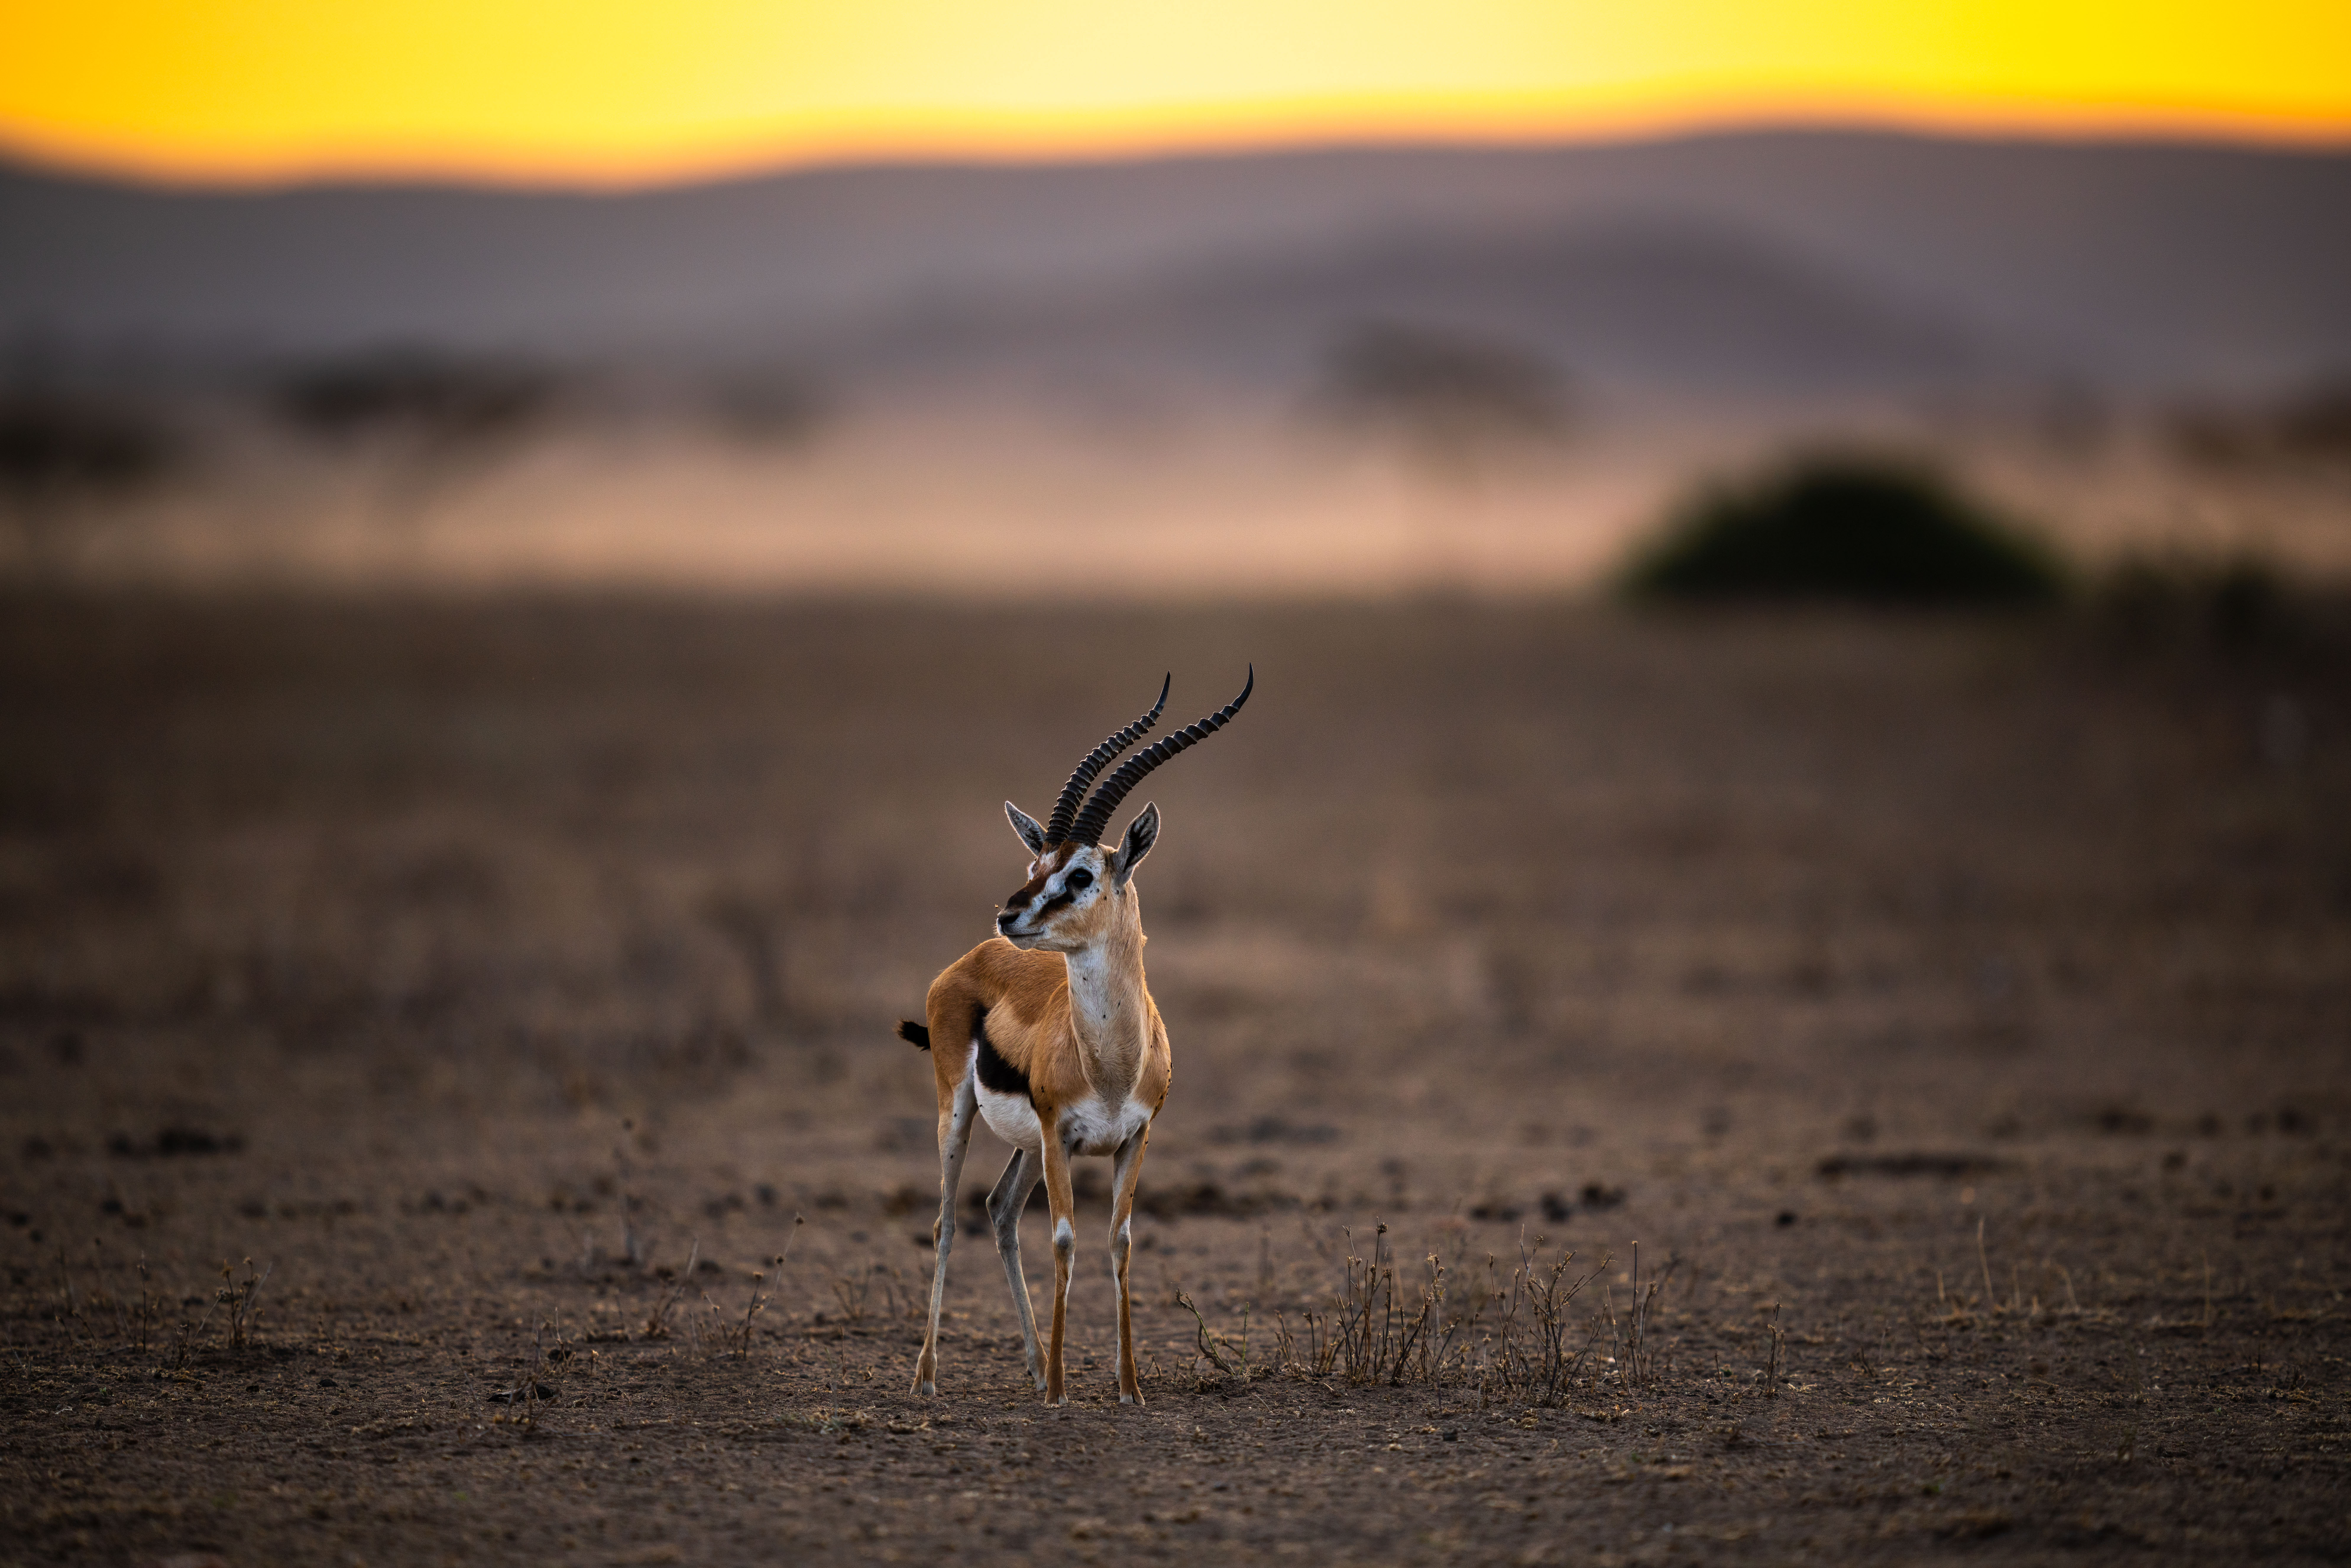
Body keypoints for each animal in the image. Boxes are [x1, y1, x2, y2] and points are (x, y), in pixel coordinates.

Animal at [896, 671, 1252, 1405]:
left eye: (1081, 875)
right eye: (1035, 863)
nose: (1009, 914)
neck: (1112, 1065)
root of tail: (968, 961)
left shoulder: (1134, 1139)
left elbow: (1120, 1243)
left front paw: (1129, 1389)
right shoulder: (1061, 1135)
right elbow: (1063, 1239)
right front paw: (1062, 1392)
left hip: (1031, 1148)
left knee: (999, 1210)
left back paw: (1032, 1366)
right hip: (960, 1114)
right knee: (947, 1221)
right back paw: (929, 1377)